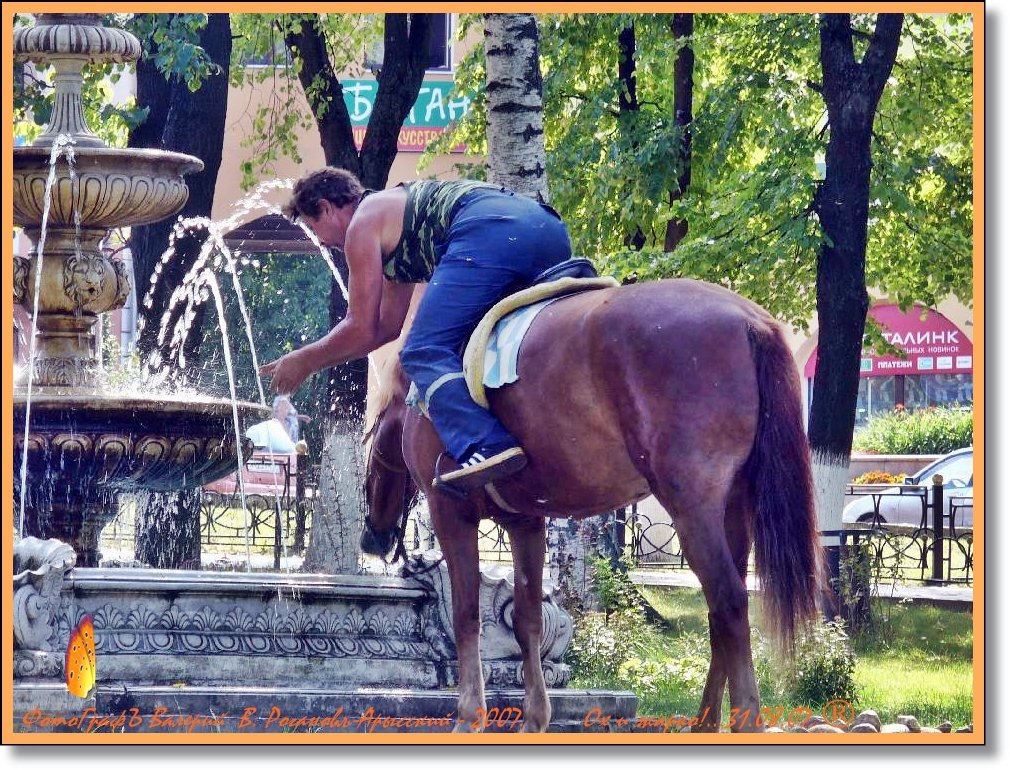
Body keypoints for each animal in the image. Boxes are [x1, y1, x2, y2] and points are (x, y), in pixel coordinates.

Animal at [363, 276, 820, 731]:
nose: (373, 537)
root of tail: (748, 320)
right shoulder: (526, 522)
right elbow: (528, 620)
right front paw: (534, 719)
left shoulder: (451, 512)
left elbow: (466, 616)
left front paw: (468, 717)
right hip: (733, 510)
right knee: (720, 614)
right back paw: (705, 722)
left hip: (694, 511)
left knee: (729, 602)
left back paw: (743, 720)